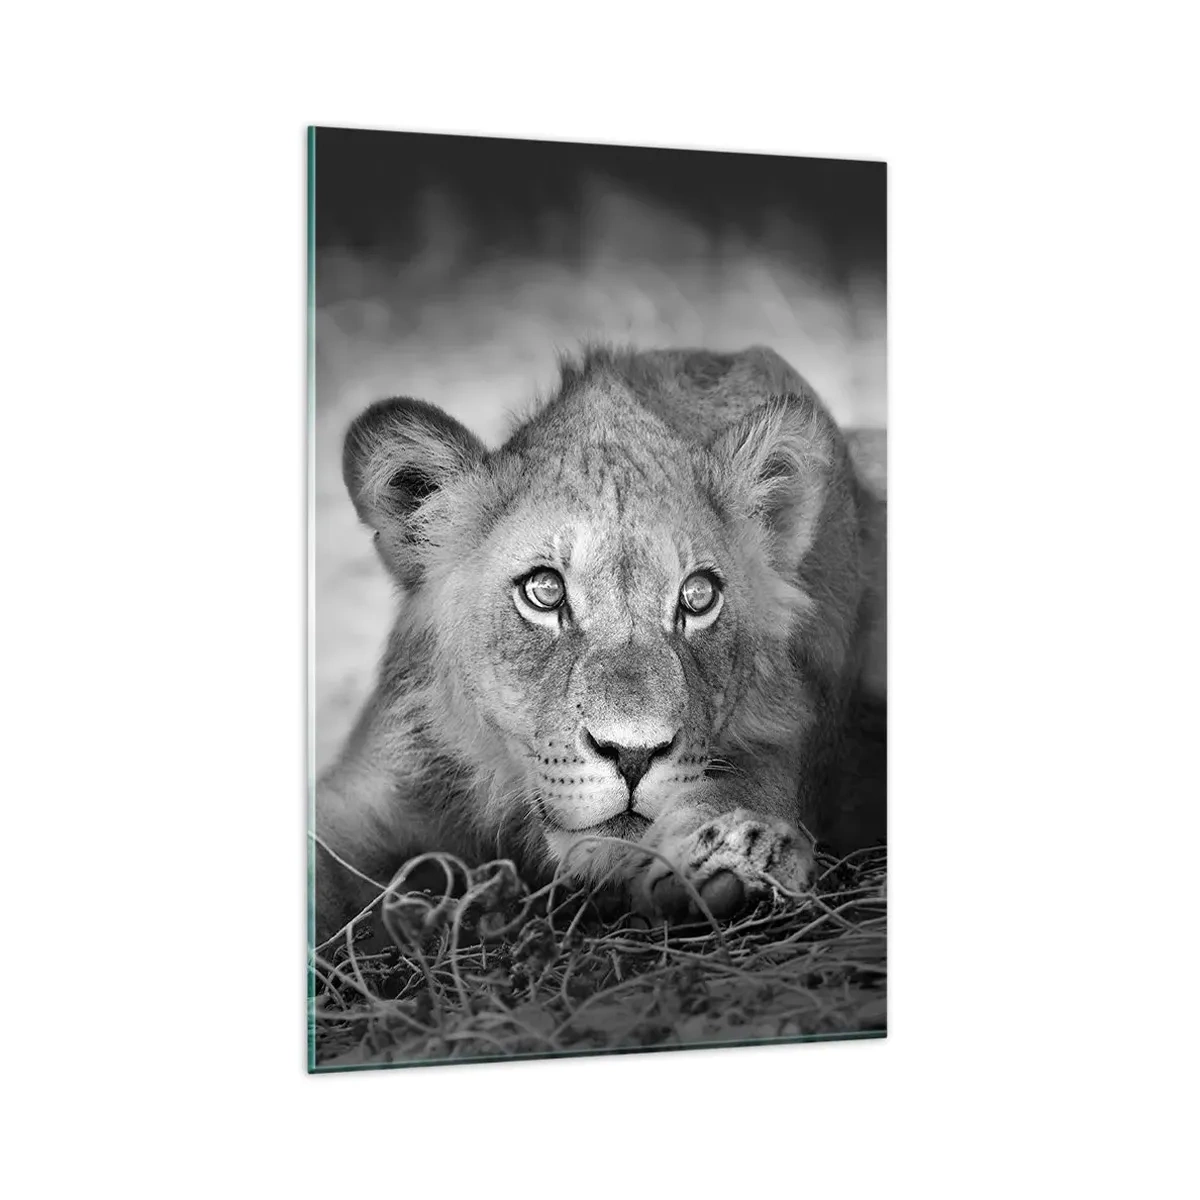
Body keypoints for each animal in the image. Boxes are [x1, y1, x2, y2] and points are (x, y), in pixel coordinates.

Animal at [314, 344, 886, 943]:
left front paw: (736, 857)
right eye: (544, 591)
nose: (633, 756)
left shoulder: (788, 725)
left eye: (698, 596)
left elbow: (747, 784)